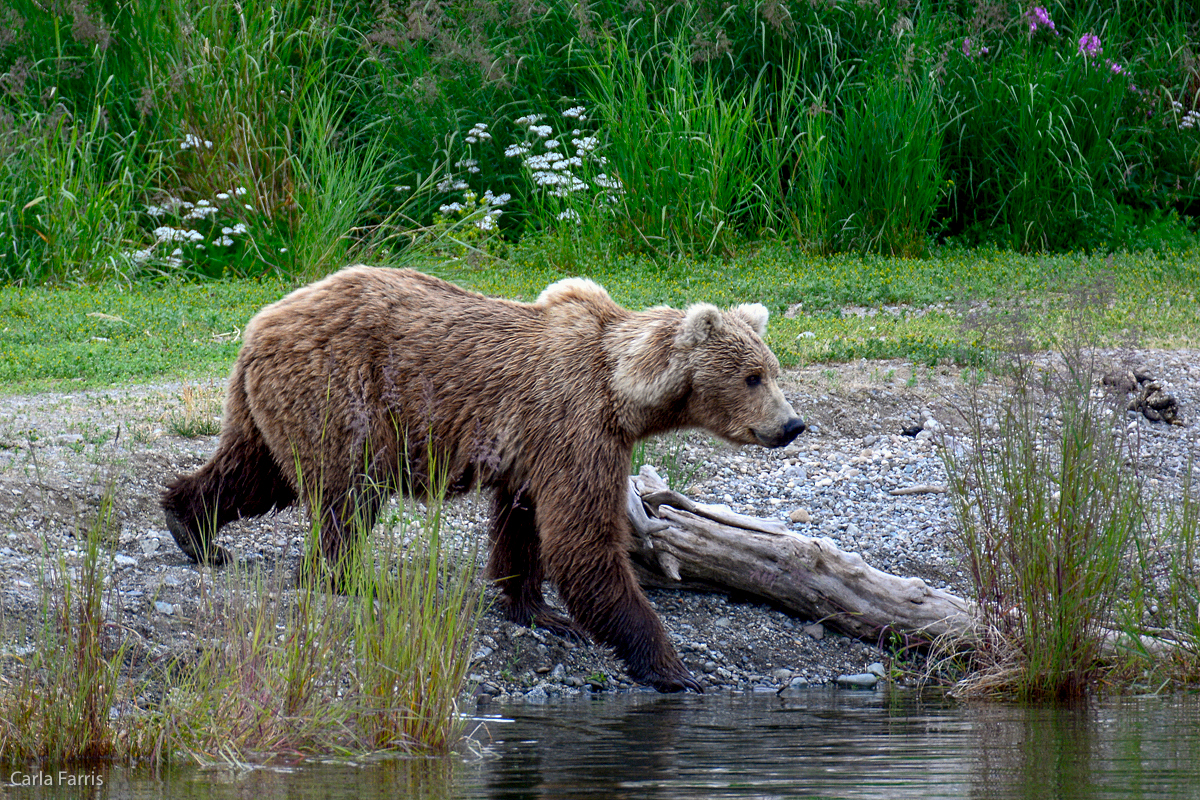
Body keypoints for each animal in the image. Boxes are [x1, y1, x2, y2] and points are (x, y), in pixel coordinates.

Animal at [162, 266, 806, 690]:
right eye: (752, 377)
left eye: (772, 370)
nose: (792, 424)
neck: (625, 392)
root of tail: (258, 324)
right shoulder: (575, 425)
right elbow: (584, 543)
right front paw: (672, 666)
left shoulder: (535, 450)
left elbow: (524, 524)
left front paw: (536, 608)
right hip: (342, 394)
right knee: (349, 495)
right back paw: (347, 578)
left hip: (271, 401)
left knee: (252, 471)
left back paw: (193, 529)